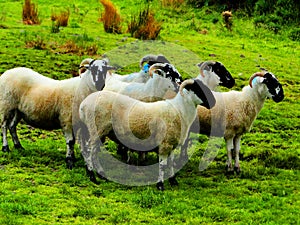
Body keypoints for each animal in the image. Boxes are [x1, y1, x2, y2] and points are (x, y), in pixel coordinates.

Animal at [79, 76, 216, 191]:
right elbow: (162, 165)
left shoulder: (172, 143)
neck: (179, 110)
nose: (213, 102)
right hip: (96, 129)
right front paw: (160, 185)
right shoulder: (164, 143)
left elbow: (171, 163)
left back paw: (101, 174)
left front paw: (173, 181)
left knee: (93, 152)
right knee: (89, 150)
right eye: (198, 89)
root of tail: (83, 105)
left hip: (98, 131)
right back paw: (92, 176)